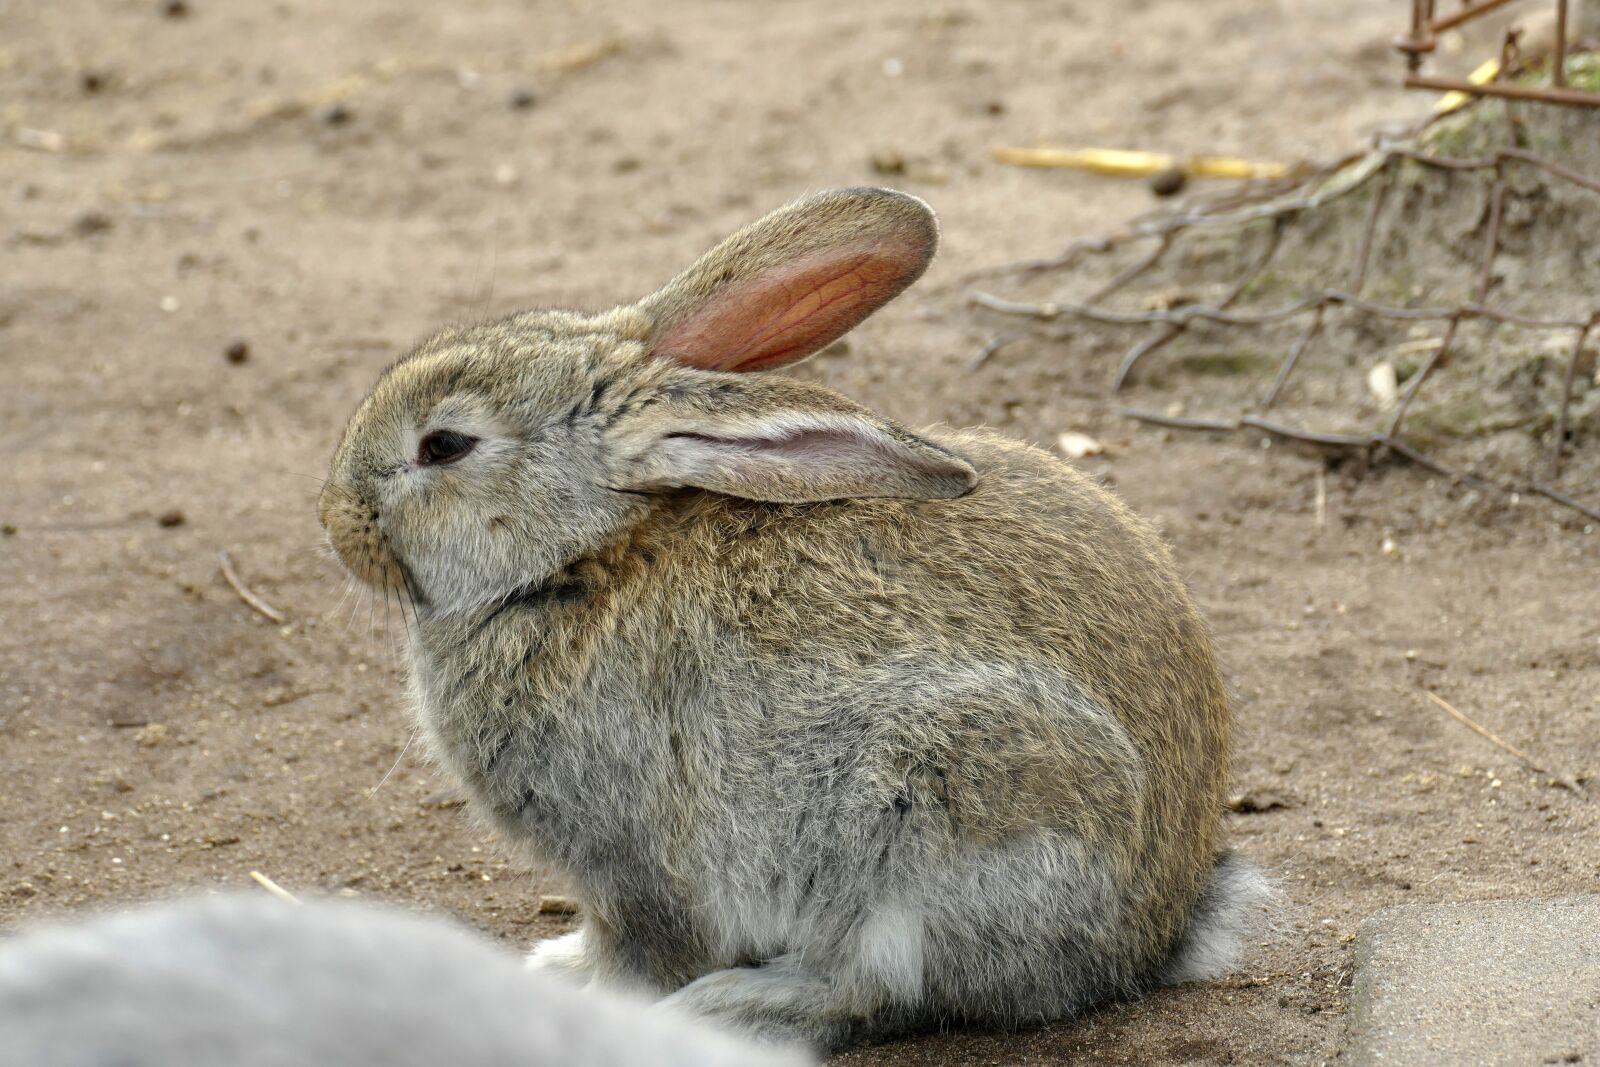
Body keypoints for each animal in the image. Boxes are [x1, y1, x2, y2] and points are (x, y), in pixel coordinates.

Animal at [319, 186, 1271, 1051]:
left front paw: (579, 998)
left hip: (946, 809)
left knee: (884, 991)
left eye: (445, 445)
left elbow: (638, 954)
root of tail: (1153, 937)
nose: (334, 519)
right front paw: (554, 966)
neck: (574, 559)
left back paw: (737, 1007)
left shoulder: (634, 863)